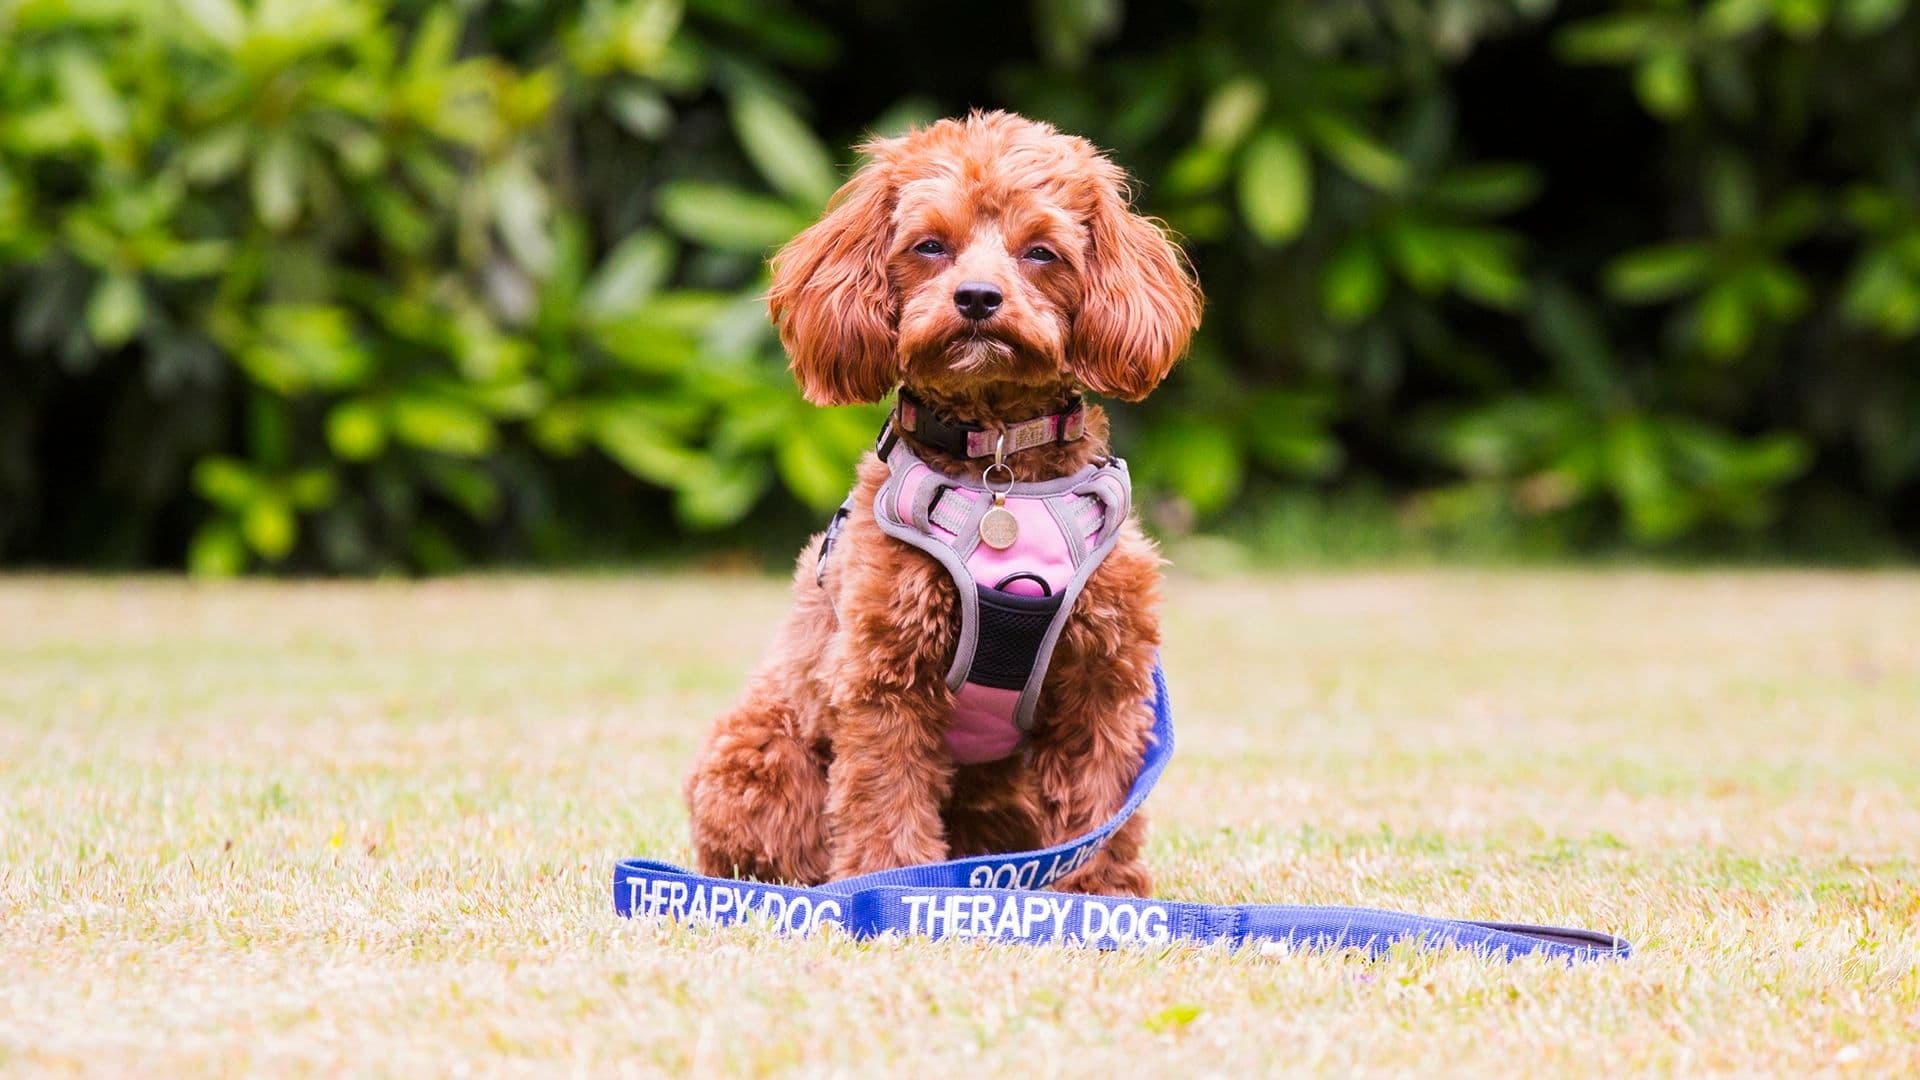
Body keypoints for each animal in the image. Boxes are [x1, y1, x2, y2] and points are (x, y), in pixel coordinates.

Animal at [687, 109, 1198, 891]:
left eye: (1041, 252)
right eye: (930, 245)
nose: (978, 298)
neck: (999, 468)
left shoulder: (1103, 679)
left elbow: (1103, 807)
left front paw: (1101, 894)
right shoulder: (886, 677)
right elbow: (885, 799)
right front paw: (891, 885)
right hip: (755, 761)